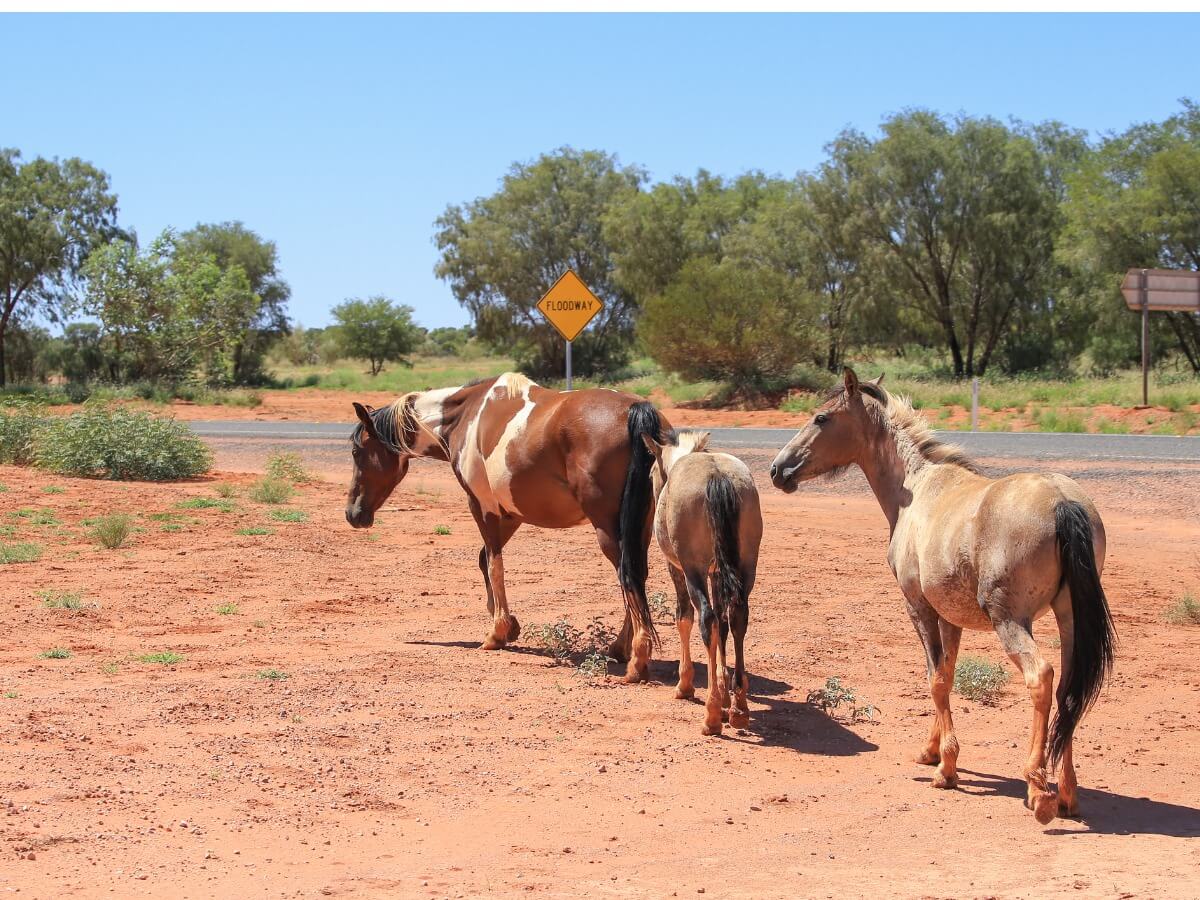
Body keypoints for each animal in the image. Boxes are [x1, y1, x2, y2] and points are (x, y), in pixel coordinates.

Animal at [345, 371, 671, 682]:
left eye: (357, 452)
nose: (353, 513)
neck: (465, 416)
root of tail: (634, 410)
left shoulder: (482, 506)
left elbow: (493, 564)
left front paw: (496, 633)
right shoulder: (511, 514)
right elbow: (483, 561)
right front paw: (509, 625)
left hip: (609, 529)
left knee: (627, 574)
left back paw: (636, 660)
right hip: (639, 527)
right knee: (636, 573)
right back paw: (620, 648)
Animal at [643, 429, 763, 736]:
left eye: (651, 473)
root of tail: (716, 475)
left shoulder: (678, 569)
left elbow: (684, 617)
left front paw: (686, 685)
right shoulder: (717, 572)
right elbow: (723, 626)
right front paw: (723, 690)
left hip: (693, 570)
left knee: (706, 619)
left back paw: (711, 715)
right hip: (746, 567)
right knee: (737, 617)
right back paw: (739, 708)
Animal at [768, 368, 1115, 825]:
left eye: (821, 418)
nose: (777, 469)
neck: (915, 490)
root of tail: (1063, 501)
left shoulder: (918, 607)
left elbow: (934, 679)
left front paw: (947, 769)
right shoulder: (950, 616)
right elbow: (946, 674)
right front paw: (932, 751)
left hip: (1011, 621)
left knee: (1041, 678)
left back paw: (1039, 789)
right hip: (1068, 618)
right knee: (1069, 692)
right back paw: (1068, 794)